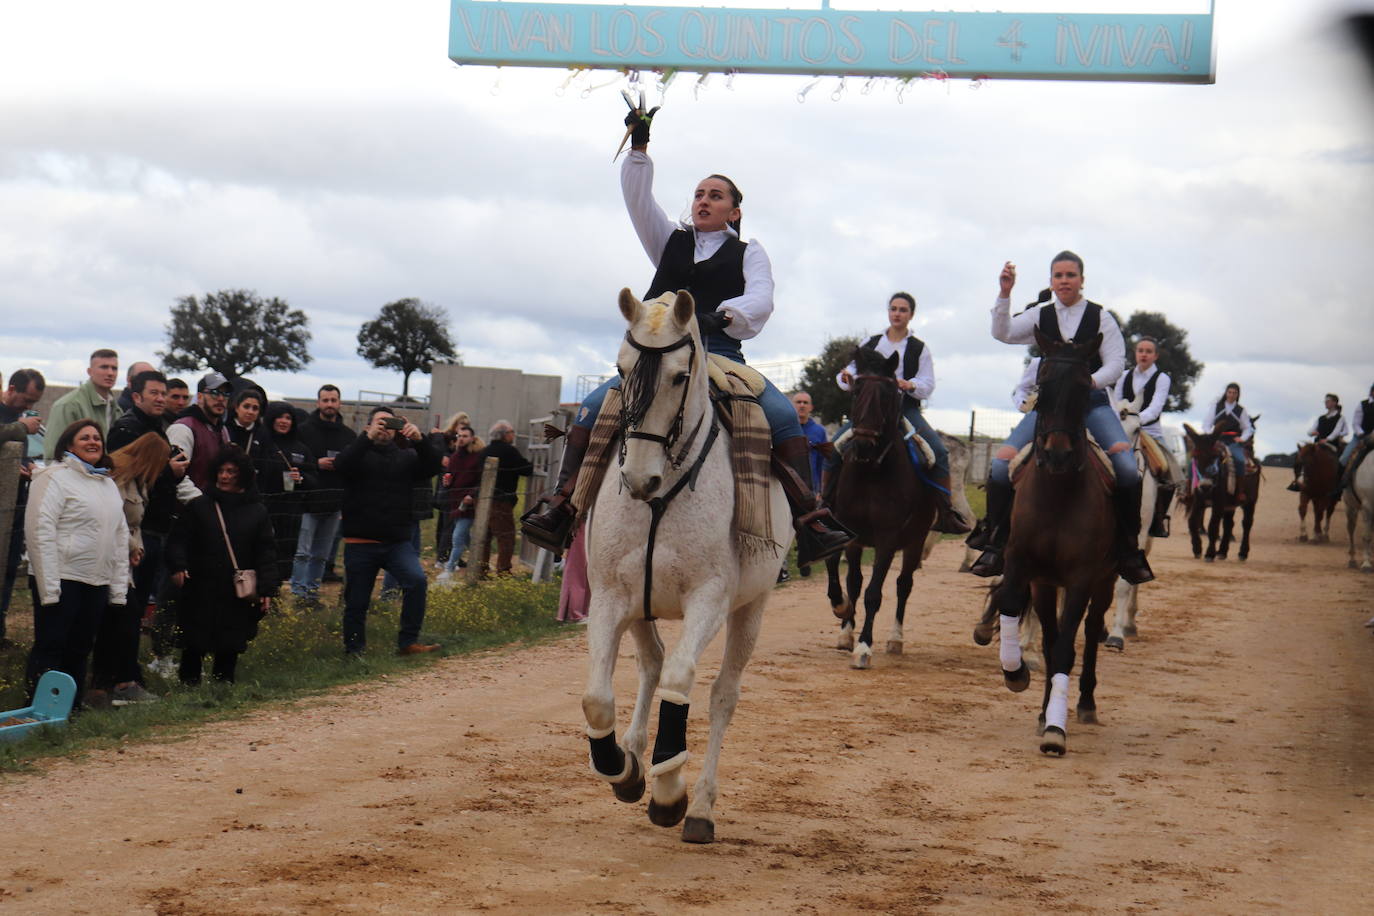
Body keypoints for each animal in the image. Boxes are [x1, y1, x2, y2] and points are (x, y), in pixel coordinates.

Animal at [579, 292, 796, 845]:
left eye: (680, 376)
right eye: (621, 368)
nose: (639, 479)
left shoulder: (710, 599)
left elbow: (680, 681)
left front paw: (668, 791)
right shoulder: (610, 596)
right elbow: (597, 698)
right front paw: (621, 768)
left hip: (751, 609)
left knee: (721, 696)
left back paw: (699, 807)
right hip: (641, 605)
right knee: (650, 663)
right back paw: (634, 758)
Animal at [818, 343, 939, 667]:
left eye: (887, 393)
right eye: (856, 389)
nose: (863, 444)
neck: (871, 470)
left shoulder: (887, 538)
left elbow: (874, 592)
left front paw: (864, 647)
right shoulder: (849, 531)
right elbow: (845, 578)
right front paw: (843, 615)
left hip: (915, 542)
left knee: (903, 585)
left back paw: (896, 639)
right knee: (856, 581)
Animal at [994, 330, 1121, 758]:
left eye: (1084, 389)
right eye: (1043, 387)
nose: (1058, 455)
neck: (1057, 494)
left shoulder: (1081, 577)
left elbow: (1067, 647)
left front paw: (1055, 729)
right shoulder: (1025, 568)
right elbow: (1018, 615)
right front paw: (1016, 674)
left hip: (1105, 581)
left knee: (1092, 631)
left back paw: (1084, 704)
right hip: (1048, 585)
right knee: (1051, 639)